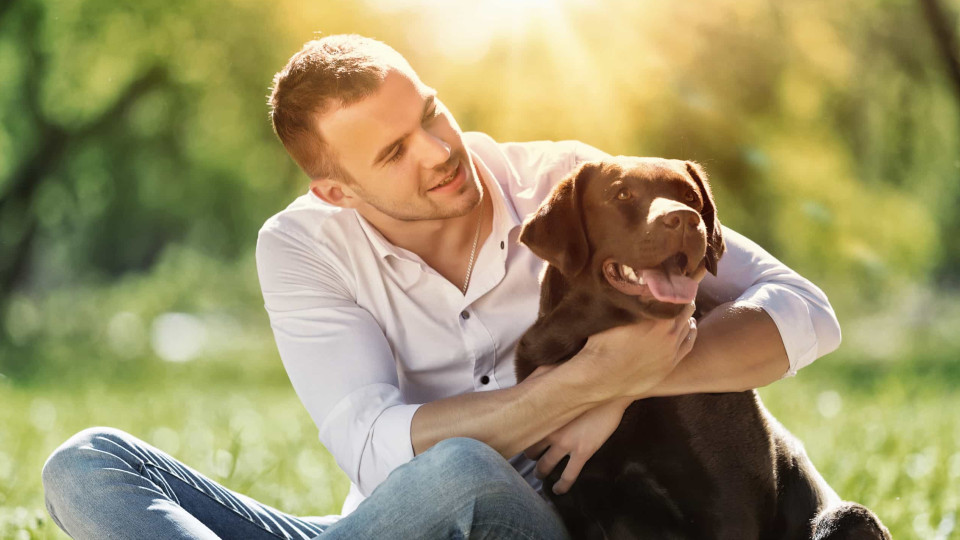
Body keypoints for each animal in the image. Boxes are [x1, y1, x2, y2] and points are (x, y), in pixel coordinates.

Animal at [512, 156, 888, 540]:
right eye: (622, 194)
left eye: (691, 197)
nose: (685, 219)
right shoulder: (578, 505)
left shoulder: (728, 505)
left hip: (847, 517)